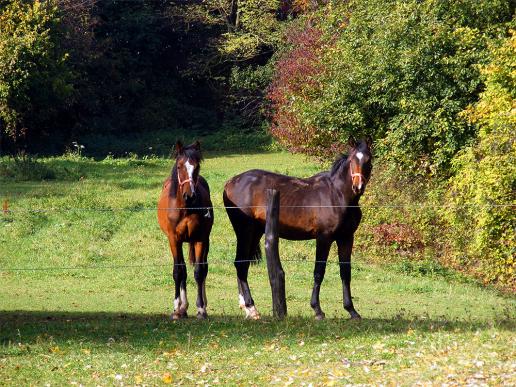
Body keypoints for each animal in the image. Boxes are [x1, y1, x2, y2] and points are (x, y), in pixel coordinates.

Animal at [157, 141, 214, 320]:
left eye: (197, 166)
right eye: (180, 166)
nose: (190, 195)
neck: (186, 208)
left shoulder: (200, 238)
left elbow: (199, 271)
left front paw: (201, 309)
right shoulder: (174, 240)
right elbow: (178, 271)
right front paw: (176, 307)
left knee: (203, 268)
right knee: (182, 270)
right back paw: (182, 307)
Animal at [224, 138, 372, 320]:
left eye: (368, 160)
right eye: (352, 161)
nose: (358, 186)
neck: (337, 196)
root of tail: (230, 183)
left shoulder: (346, 238)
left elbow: (345, 272)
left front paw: (352, 310)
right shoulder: (324, 238)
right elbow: (319, 271)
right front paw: (317, 310)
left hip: (255, 232)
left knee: (242, 265)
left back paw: (246, 307)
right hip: (244, 231)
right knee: (240, 264)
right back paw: (251, 307)